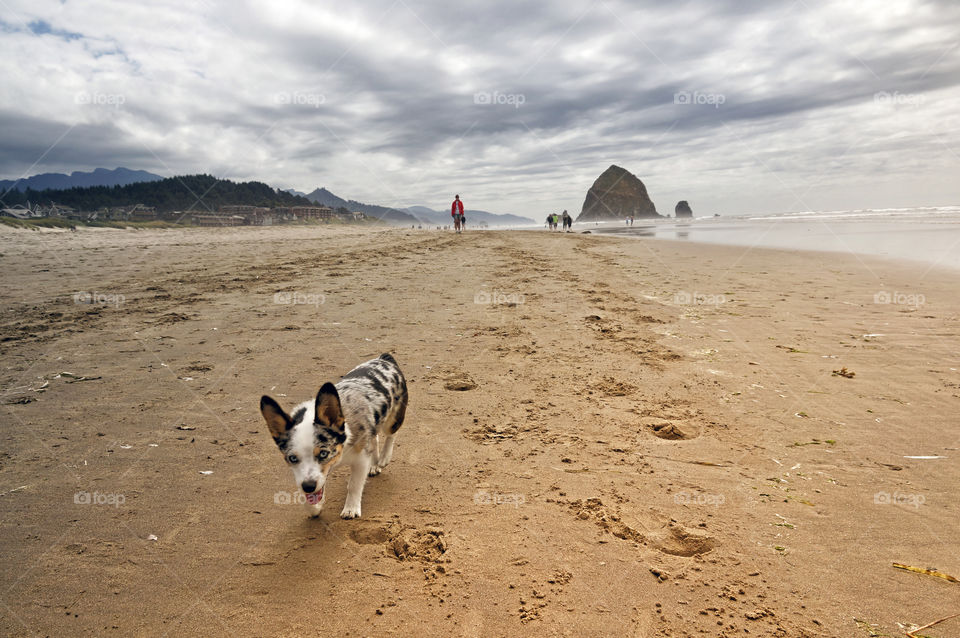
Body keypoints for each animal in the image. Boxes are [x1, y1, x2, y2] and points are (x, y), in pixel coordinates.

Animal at [262, 356, 408, 520]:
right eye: (292, 458)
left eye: (323, 453)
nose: (308, 487)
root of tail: (385, 358)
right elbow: (307, 495)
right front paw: (314, 508)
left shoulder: (361, 459)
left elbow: (354, 485)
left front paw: (351, 509)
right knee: (375, 438)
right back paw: (375, 464)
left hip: (392, 420)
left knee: (391, 434)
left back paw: (383, 458)